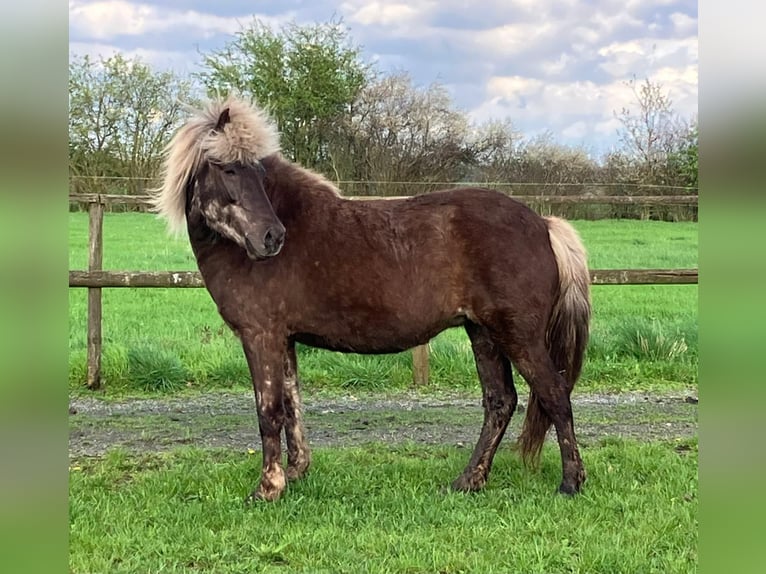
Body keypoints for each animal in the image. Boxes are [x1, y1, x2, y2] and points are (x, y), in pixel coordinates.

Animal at [152, 97, 592, 502]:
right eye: (228, 168)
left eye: (258, 173)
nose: (271, 237)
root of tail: (543, 224)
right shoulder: (284, 339)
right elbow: (293, 405)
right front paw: (295, 474)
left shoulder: (260, 335)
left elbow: (269, 411)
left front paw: (267, 489)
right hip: (483, 333)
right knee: (500, 402)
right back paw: (468, 481)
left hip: (517, 335)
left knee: (554, 394)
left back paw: (570, 483)